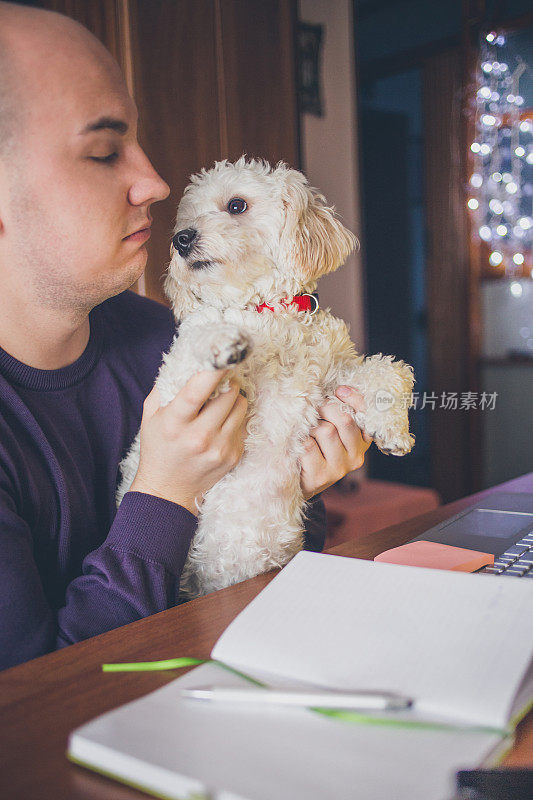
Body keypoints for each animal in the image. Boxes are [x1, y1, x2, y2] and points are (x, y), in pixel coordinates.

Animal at [117, 158, 416, 600]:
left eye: (236, 205)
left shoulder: (337, 375)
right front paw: (223, 338)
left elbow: (389, 369)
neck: (268, 310)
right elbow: (194, 345)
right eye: (185, 220)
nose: (181, 240)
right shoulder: (176, 386)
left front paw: (394, 430)